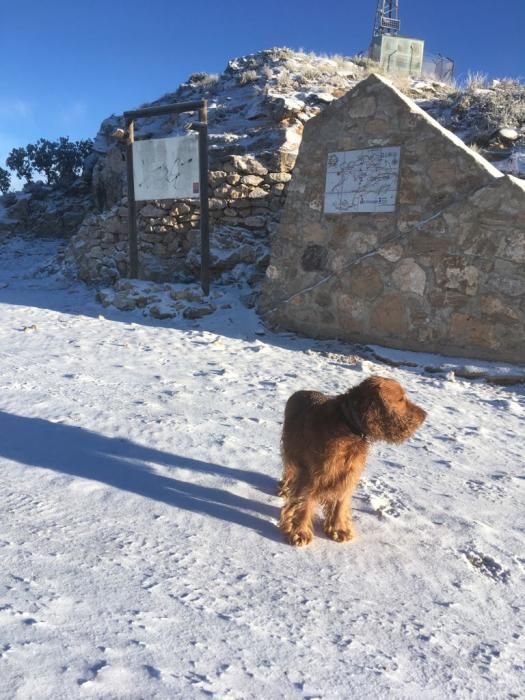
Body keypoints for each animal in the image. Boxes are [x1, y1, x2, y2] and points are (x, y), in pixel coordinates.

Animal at [278, 378, 426, 548]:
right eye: (401, 399)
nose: (424, 415)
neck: (348, 426)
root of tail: (301, 391)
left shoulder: (348, 474)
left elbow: (340, 502)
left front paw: (339, 529)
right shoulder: (311, 476)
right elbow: (304, 503)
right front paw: (299, 532)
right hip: (290, 452)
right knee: (289, 471)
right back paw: (285, 489)